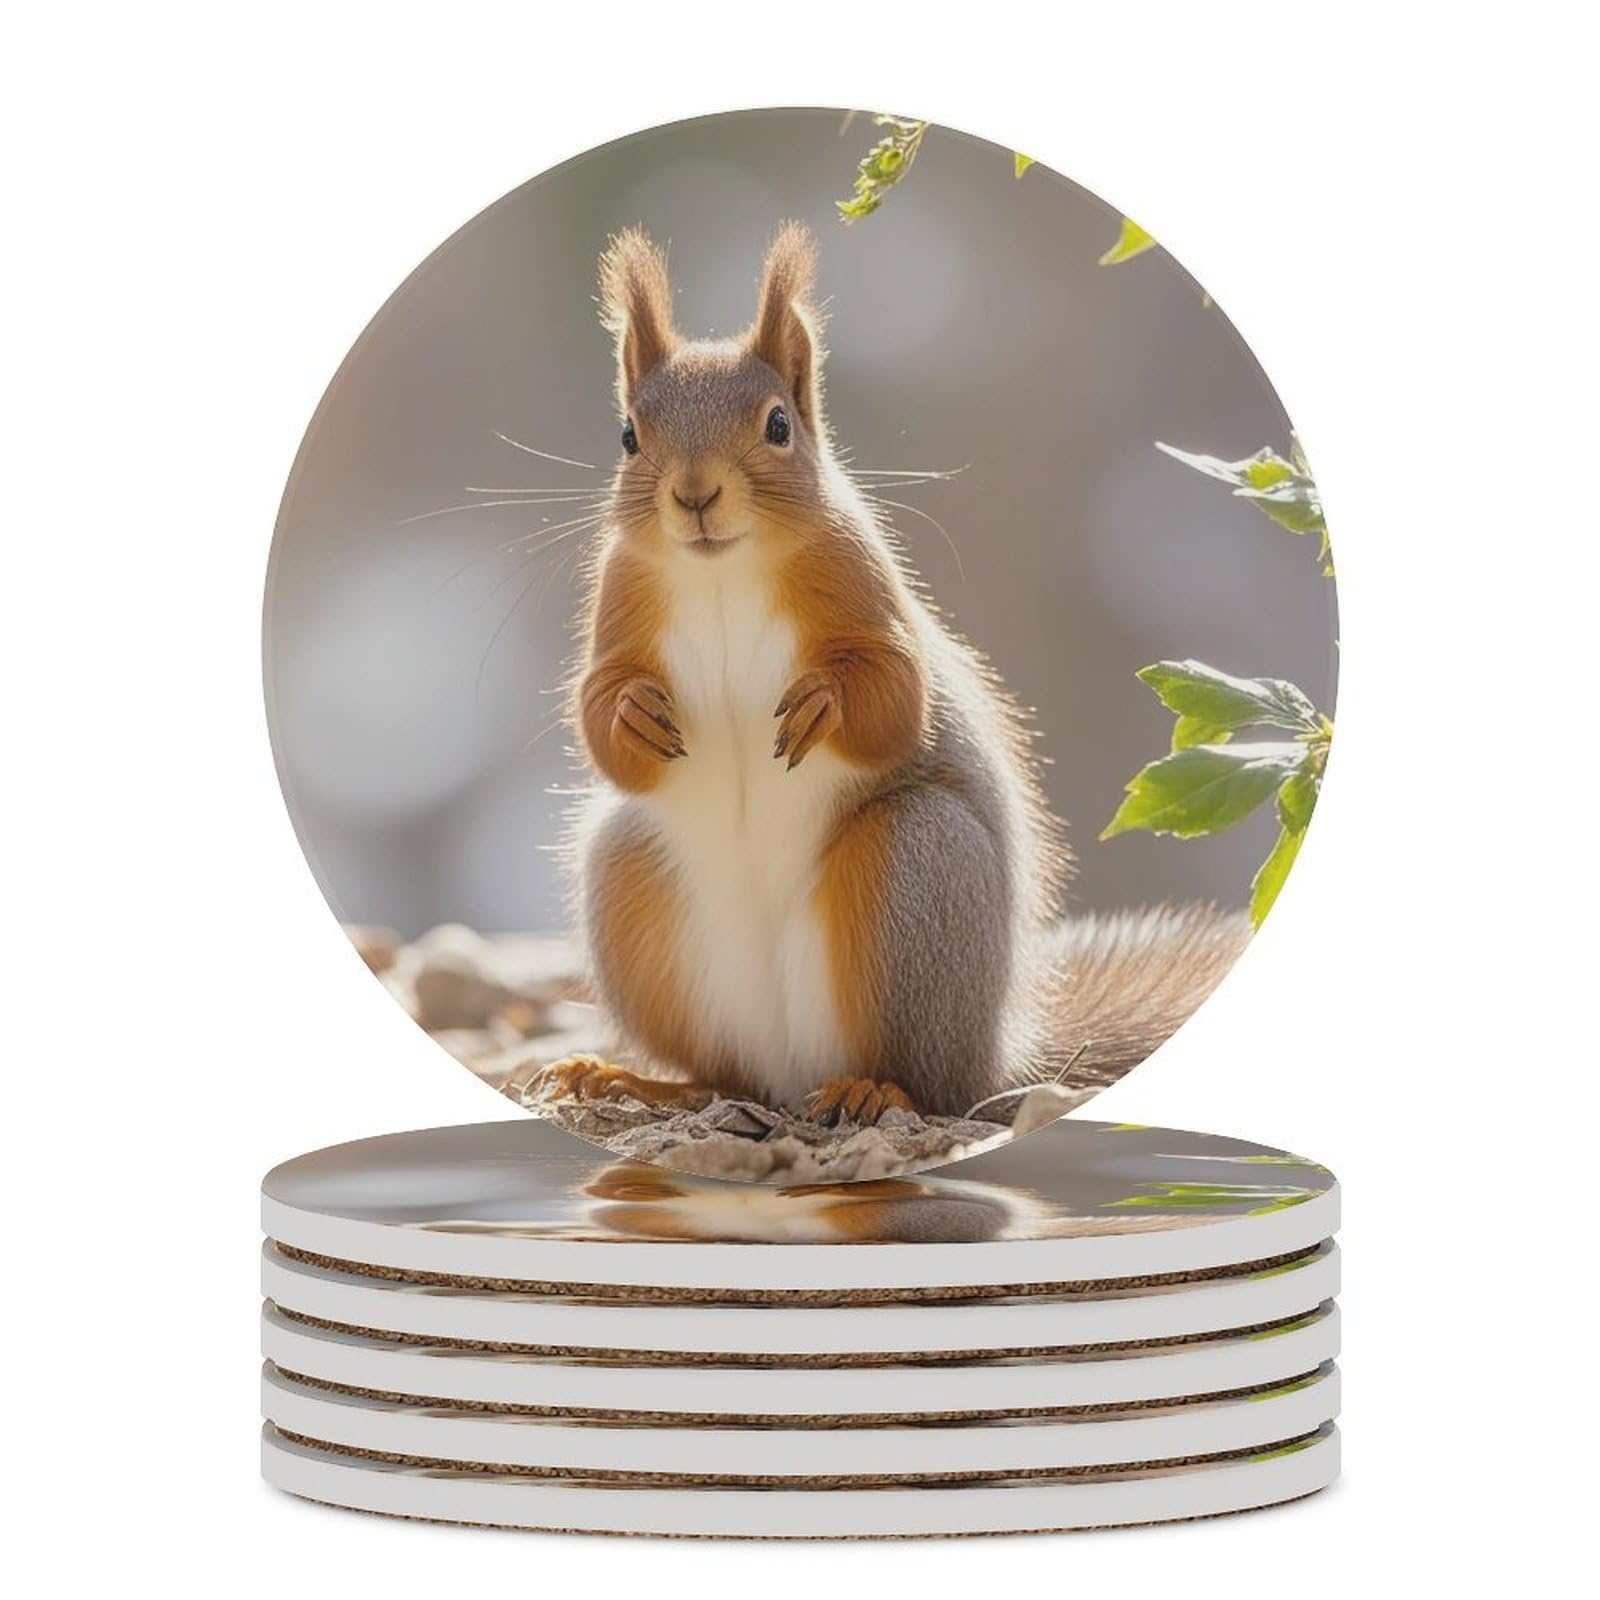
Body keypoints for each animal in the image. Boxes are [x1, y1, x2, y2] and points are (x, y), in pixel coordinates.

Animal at [543, 224, 1249, 1128]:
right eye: (628, 436)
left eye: (778, 425)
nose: (694, 495)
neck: (721, 572)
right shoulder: (621, 603)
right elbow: (599, 713)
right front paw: (632, 711)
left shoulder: (864, 588)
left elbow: (897, 696)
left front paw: (827, 702)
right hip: (632, 886)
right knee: (727, 1076)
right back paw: (638, 1080)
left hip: (917, 867)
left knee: (928, 1081)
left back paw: (873, 1087)